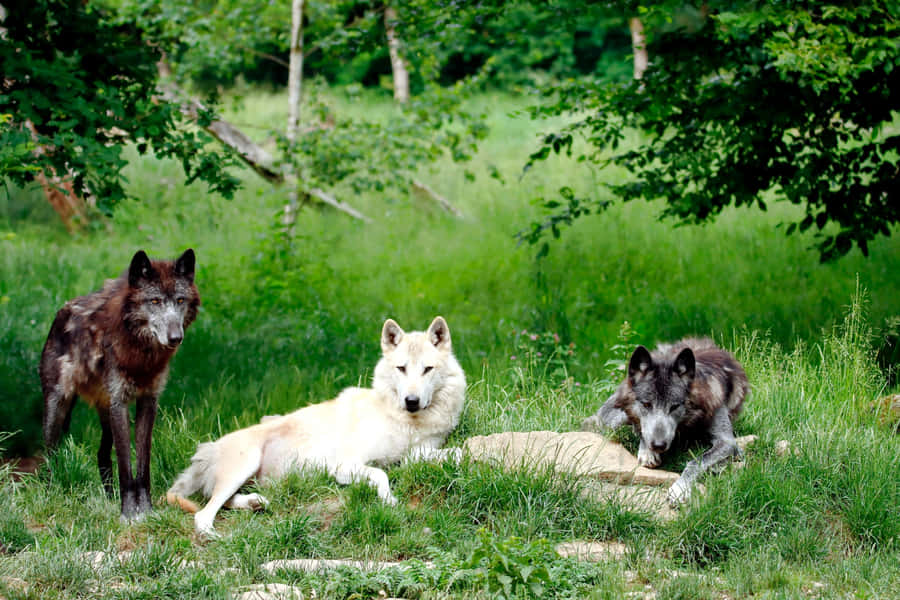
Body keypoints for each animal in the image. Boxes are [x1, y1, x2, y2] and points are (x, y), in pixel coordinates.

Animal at [40, 249, 199, 519]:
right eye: (154, 301)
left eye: (180, 300)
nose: (175, 338)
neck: (141, 354)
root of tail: (60, 313)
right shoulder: (120, 403)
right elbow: (126, 466)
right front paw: (127, 514)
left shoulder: (147, 402)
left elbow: (142, 466)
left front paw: (145, 511)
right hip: (57, 407)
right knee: (49, 455)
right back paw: (51, 495)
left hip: (105, 413)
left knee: (102, 455)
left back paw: (109, 499)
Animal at [166, 316, 466, 536]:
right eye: (401, 369)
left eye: (427, 369)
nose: (411, 401)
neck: (404, 421)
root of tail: (206, 451)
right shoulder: (344, 466)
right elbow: (381, 474)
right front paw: (388, 500)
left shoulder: (417, 453)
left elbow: (451, 453)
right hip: (245, 464)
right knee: (203, 514)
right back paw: (214, 535)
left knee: (223, 501)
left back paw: (255, 503)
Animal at [581, 338, 748, 505]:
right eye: (646, 404)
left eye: (674, 406)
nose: (658, 445)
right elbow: (642, 428)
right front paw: (647, 452)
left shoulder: (726, 441)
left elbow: (696, 461)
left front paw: (680, 488)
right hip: (613, 416)